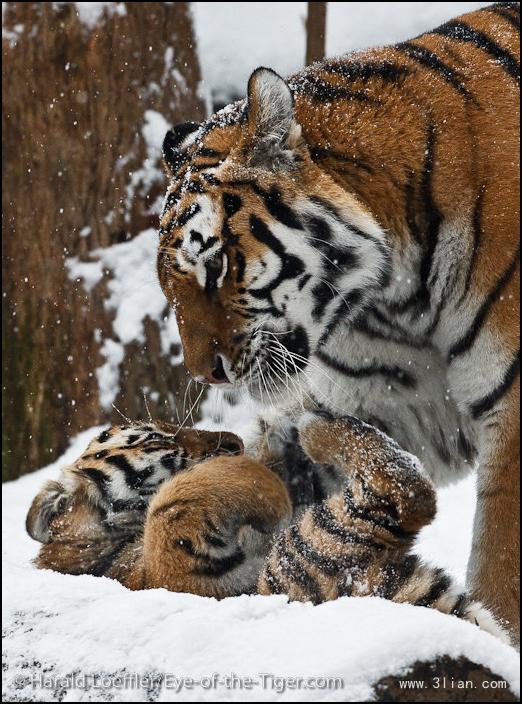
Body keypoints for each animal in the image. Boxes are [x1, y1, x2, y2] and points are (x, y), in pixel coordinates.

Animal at [156, 4, 516, 644]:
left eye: (215, 266)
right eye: (166, 286)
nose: (206, 374)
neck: (397, 296)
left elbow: (499, 568)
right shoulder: (391, 403)